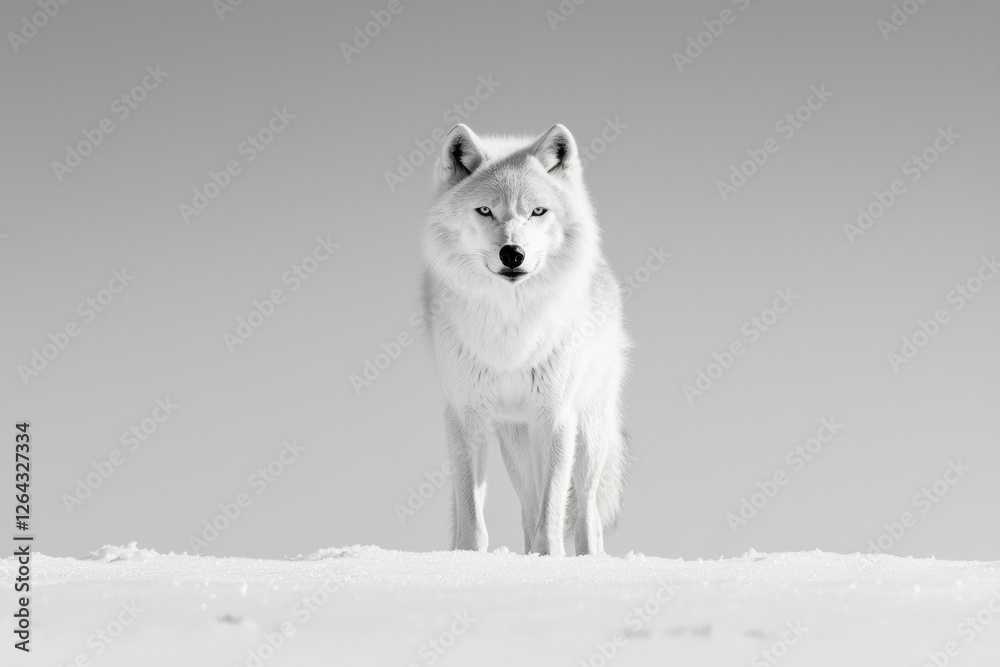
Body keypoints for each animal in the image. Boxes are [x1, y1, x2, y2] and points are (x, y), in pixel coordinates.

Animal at [420, 123, 631, 556]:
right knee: (528, 506)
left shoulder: (555, 417)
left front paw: (550, 559)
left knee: (585, 509)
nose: (512, 253)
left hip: (588, 432)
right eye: (485, 210)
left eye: (538, 211)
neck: (510, 330)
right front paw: (465, 558)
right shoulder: (464, 417)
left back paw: (588, 557)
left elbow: (553, 509)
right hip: (514, 442)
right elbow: (472, 513)